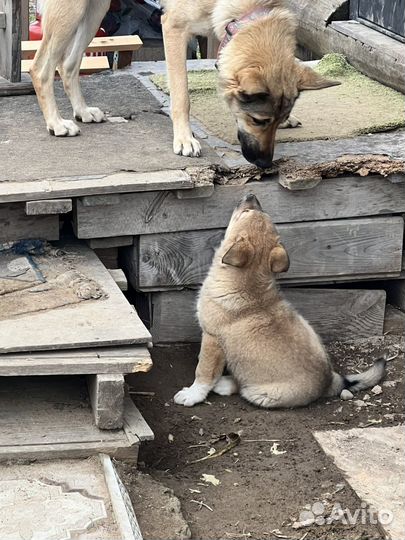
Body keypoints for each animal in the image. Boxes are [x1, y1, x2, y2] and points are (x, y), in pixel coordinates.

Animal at [30, 0, 338, 167]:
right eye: (258, 121)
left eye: (276, 121)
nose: (265, 163)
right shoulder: (174, 29)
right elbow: (182, 97)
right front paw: (184, 139)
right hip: (72, 12)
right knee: (41, 68)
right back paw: (56, 123)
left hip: (95, 9)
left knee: (68, 64)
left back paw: (82, 111)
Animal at [174, 194, 386, 410]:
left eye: (246, 212)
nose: (251, 195)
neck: (249, 281)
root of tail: (330, 382)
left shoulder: (212, 338)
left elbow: (204, 372)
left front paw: (192, 394)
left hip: (259, 393)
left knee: (242, 386)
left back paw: (223, 384)